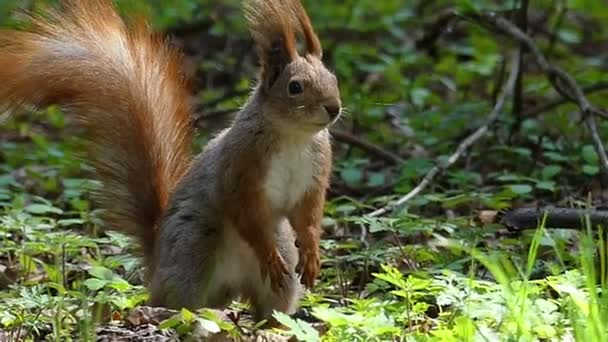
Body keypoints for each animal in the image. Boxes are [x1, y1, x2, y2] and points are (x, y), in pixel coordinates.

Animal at [0, 0, 340, 320]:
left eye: (333, 78)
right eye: (295, 87)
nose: (334, 108)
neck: (294, 136)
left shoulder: (317, 171)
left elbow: (308, 215)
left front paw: (312, 254)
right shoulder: (240, 165)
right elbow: (243, 211)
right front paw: (268, 254)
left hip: (276, 255)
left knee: (271, 304)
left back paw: (273, 323)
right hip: (192, 247)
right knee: (177, 302)